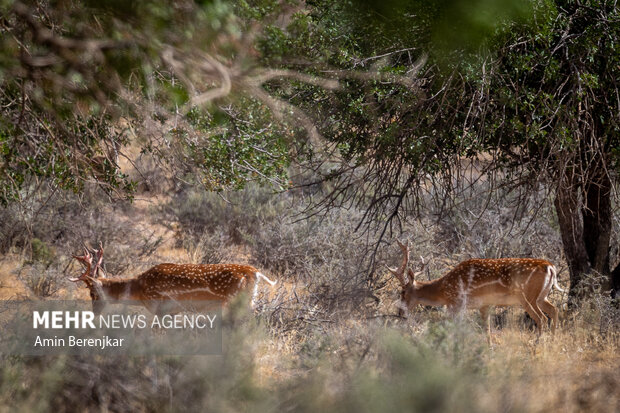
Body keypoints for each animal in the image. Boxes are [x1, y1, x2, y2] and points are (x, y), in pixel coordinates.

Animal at [67, 243, 276, 314]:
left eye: (92, 293)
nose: (95, 313)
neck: (140, 290)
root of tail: (255, 272)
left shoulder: (160, 308)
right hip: (249, 300)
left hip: (233, 300)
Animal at [390, 240, 564, 334]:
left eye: (402, 291)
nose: (400, 312)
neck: (444, 290)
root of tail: (550, 267)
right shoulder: (483, 305)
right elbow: (486, 330)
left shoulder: (456, 303)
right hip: (542, 296)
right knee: (555, 310)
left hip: (528, 297)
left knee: (541, 318)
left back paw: (539, 344)